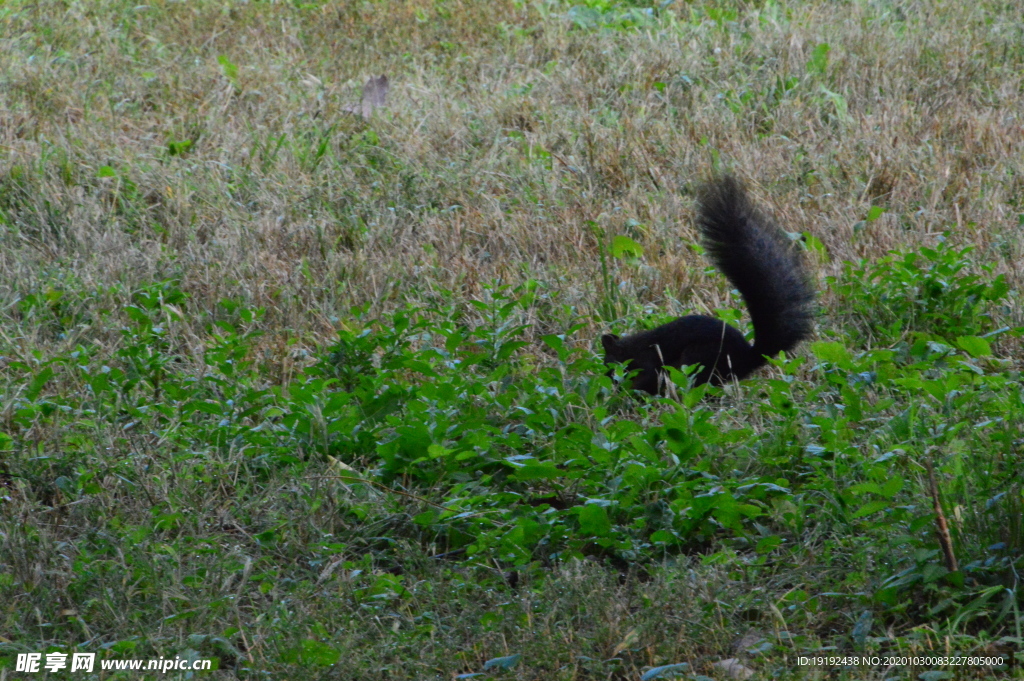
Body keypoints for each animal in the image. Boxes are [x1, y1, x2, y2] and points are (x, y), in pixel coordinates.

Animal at [598, 175, 815, 395]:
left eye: (609, 363)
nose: (609, 381)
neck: (632, 348)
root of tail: (746, 358)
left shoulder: (648, 362)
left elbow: (648, 378)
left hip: (697, 360)